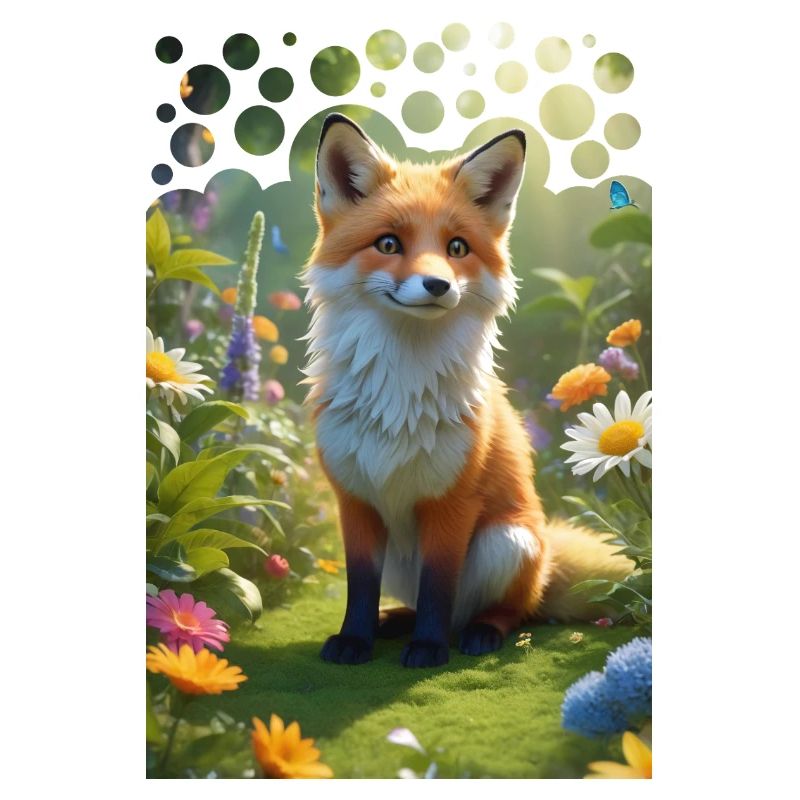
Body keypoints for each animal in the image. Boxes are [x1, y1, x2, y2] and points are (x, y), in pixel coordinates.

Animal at [301, 113, 632, 668]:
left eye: (456, 248)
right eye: (388, 244)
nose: (438, 285)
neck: (400, 393)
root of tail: (547, 555)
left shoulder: (453, 503)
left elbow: (439, 586)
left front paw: (429, 650)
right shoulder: (356, 500)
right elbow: (361, 587)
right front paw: (354, 640)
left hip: (506, 541)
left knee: (507, 610)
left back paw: (479, 633)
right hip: (405, 556)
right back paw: (396, 621)